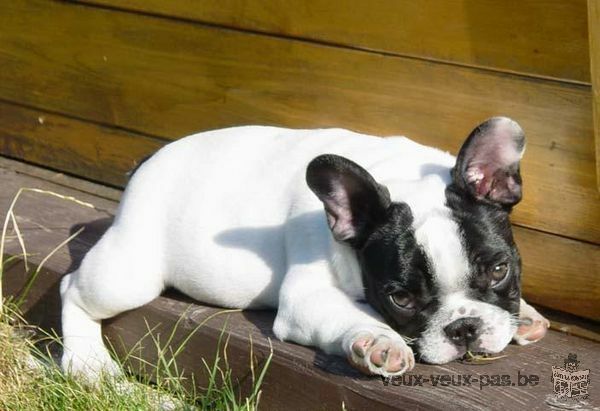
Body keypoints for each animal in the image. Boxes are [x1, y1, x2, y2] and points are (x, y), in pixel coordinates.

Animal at [59, 116, 548, 380]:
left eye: (499, 270)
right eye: (401, 299)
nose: (463, 328)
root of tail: (148, 161)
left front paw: (525, 315)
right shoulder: (306, 299)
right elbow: (349, 315)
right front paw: (378, 341)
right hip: (128, 273)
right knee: (71, 288)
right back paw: (87, 363)